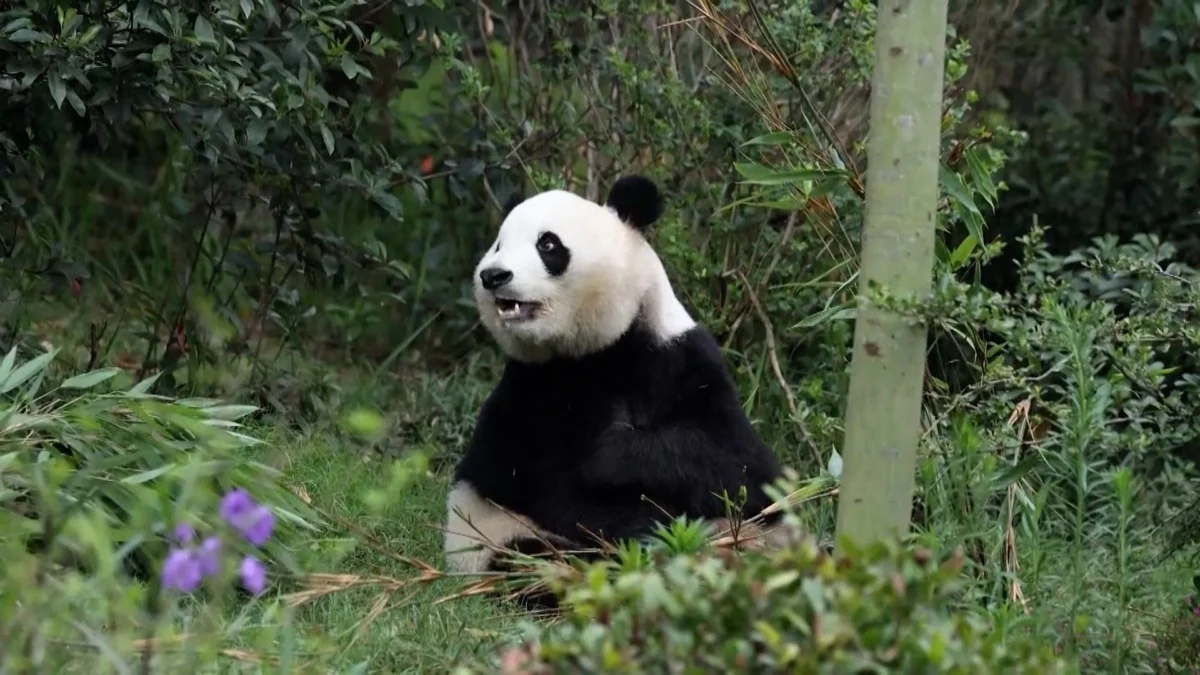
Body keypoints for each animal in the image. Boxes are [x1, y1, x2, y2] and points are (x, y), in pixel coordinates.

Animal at [442, 175, 787, 607]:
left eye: (547, 244)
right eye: (499, 244)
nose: (493, 275)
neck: (598, 351)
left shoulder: (680, 359)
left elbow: (744, 469)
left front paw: (613, 454)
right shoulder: (533, 393)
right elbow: (557, 495)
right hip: (495, 534)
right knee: (537, 560)